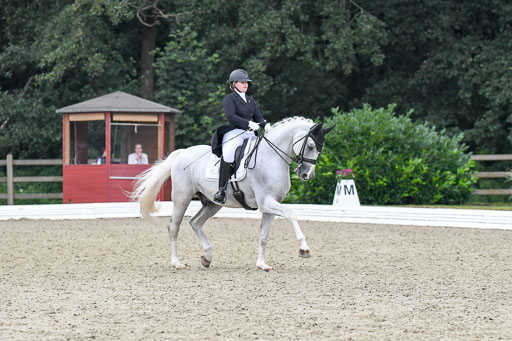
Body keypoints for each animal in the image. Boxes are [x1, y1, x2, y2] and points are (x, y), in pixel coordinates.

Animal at [131, 117, 336, 270]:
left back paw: (207, 257)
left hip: (213, 203)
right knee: (174, 227)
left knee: (195, 222)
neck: (271, 157)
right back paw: (177, 263)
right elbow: (292, 214)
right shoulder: (266, 202)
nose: (307, 175)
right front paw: (304, 249)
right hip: (182, 198)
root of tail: (182, 153)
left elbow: (264, 236)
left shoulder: (269, 205)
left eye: (320, 148)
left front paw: (262, 265)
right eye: (310, 146)